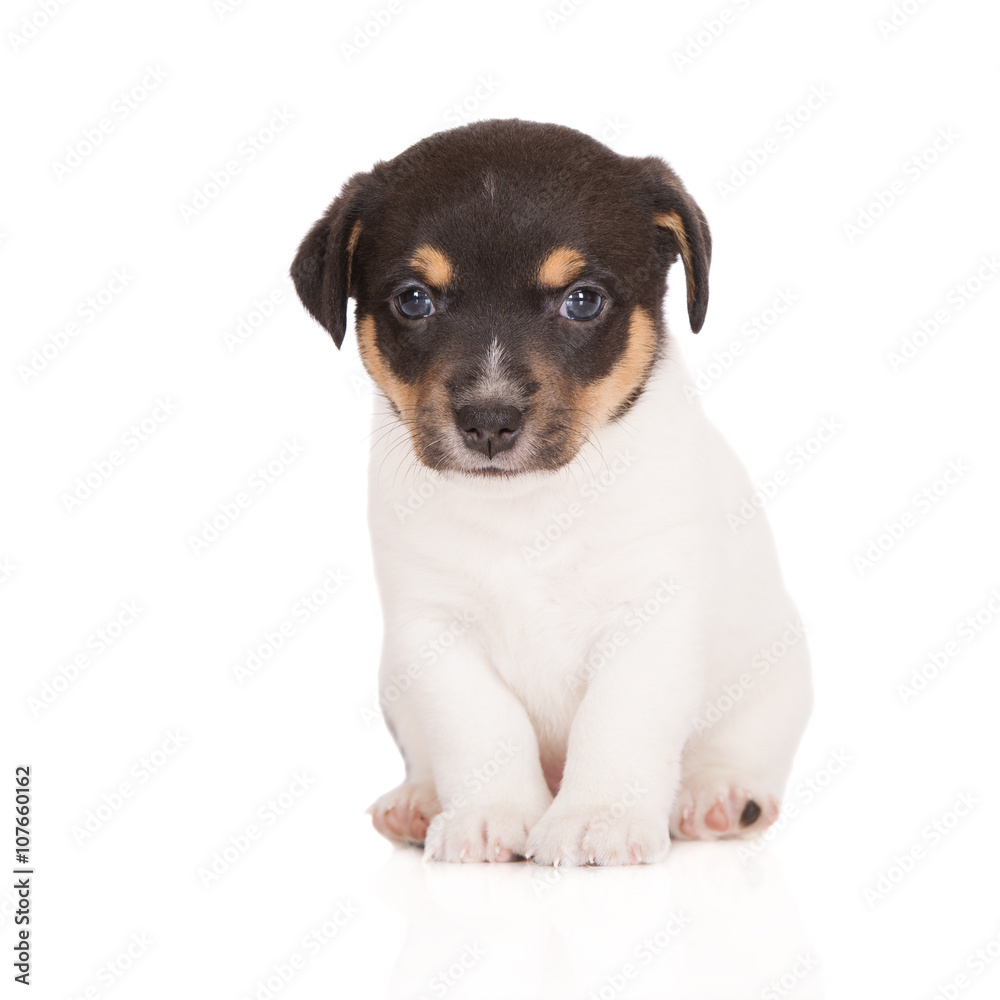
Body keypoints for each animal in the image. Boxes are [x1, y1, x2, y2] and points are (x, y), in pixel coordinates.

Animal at [290, 119, 812, 868]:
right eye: (414, 300)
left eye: (582, 301)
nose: (489, 420)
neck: (527, 510)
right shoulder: (435, 630)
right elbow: (483, 728)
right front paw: (490, 816)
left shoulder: (648, 616)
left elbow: (616, 720)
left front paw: (599, 818)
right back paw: (418, 802)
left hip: (775, 677)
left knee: (741, 745)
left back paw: (718, 796)